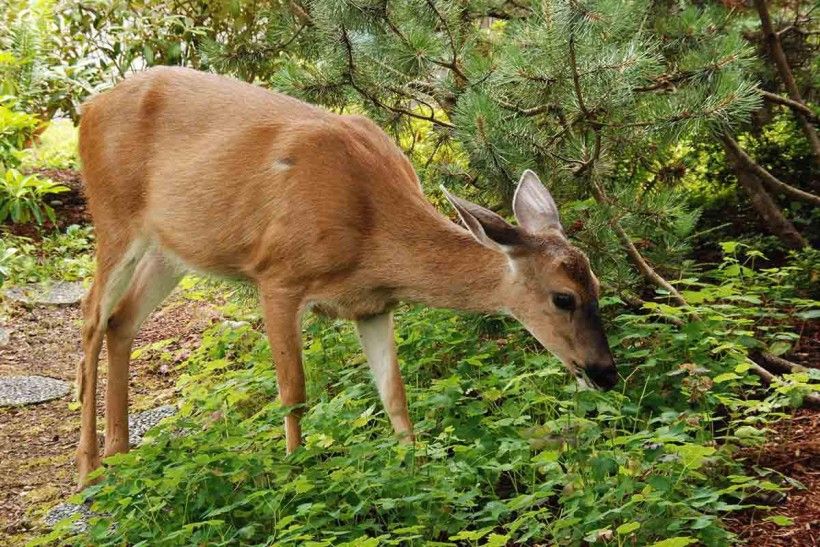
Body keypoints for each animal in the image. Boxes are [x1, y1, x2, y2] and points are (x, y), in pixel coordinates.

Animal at [75, 65, 616, 488]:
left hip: (170, 250)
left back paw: (121, 453)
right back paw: (89, 470)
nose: (606, 374)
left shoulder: (373, 305)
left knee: (123, 319)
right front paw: (296, 471)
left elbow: (395, 395)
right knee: (91, 314)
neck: (371, 232)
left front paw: (416, 469)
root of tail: (89, 107)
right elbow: (294, 394)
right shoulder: (277, 275)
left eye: (598, 287)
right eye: (563, 298)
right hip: (114, 217)